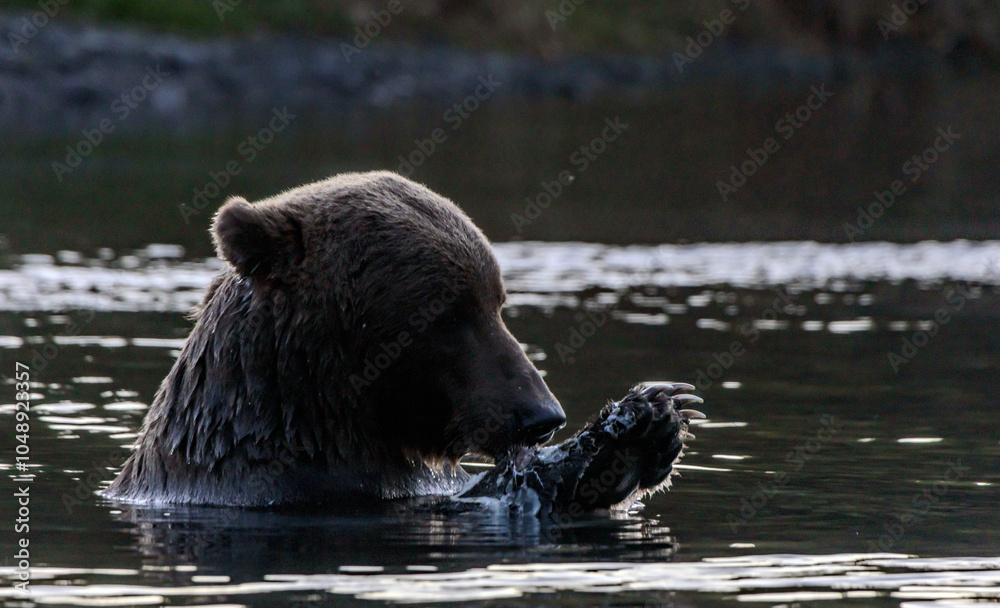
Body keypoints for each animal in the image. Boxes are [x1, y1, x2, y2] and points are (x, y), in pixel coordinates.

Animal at [103, 171, 704, 512]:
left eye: (496, 302)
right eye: (448, 314)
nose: (541, 414)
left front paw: (655, 418)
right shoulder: (288, 485)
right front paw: (625, 435)